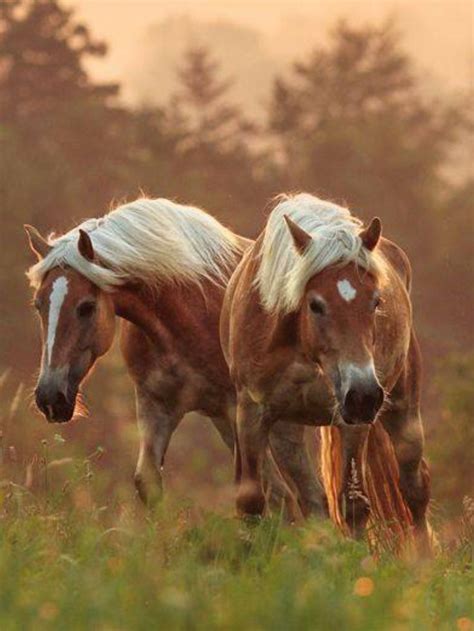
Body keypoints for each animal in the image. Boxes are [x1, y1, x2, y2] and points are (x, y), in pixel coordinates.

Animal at [24, 195, 302, 512]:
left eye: (86, 307)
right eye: (38, 305)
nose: (49, 397)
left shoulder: (240, 413)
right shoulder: (156, 406)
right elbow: (148, 482)